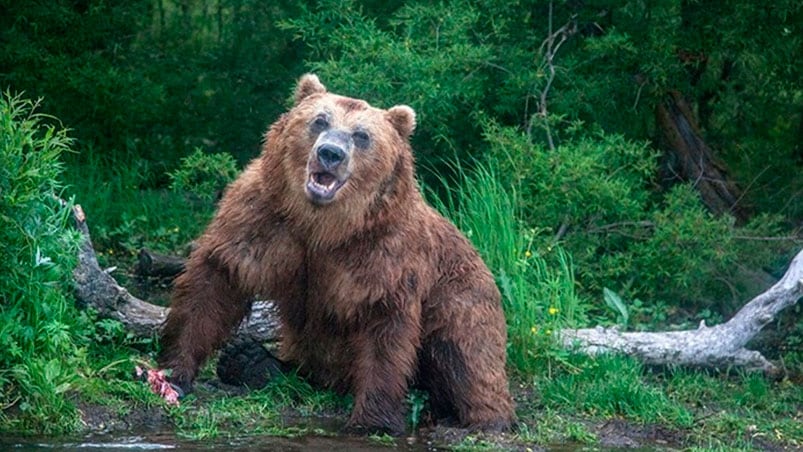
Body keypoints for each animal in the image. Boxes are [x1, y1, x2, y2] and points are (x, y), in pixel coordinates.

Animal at [159, 75, 516, 434]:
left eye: (362, 135)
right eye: (320, 120)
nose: (330, 153)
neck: (323, 225)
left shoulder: (383, 251)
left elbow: (384, 325)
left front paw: (373, 421)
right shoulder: (262, 218)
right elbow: (217, 281)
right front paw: (175, 371)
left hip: (461, 299)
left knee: (464, 354)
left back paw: (478, 416)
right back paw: (252, 361)